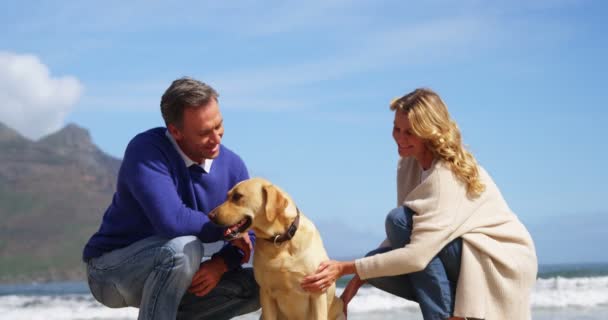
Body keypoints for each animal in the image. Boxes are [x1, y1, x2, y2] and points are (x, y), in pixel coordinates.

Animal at [209, 178, 344, 320]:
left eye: (237, 196)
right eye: (228, 196)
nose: (210, 215)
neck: (280, 240)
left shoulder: (317, 292)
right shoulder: (266, 293)